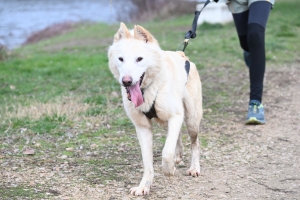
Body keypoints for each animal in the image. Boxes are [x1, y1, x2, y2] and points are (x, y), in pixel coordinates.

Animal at [106, 22, 203, 195]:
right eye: (121, 59)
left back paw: (194, 168)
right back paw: (179, 155)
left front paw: (169, 170)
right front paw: (144, 186)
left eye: (139, 59)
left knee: (194, 143)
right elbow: (147, 161)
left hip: (192, 119)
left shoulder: (175, 116)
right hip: (166, 121)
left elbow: (166, 152)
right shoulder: (142, 127)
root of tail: (183, 55)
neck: (147, 90)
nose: (126, 81)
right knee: (177, 136)